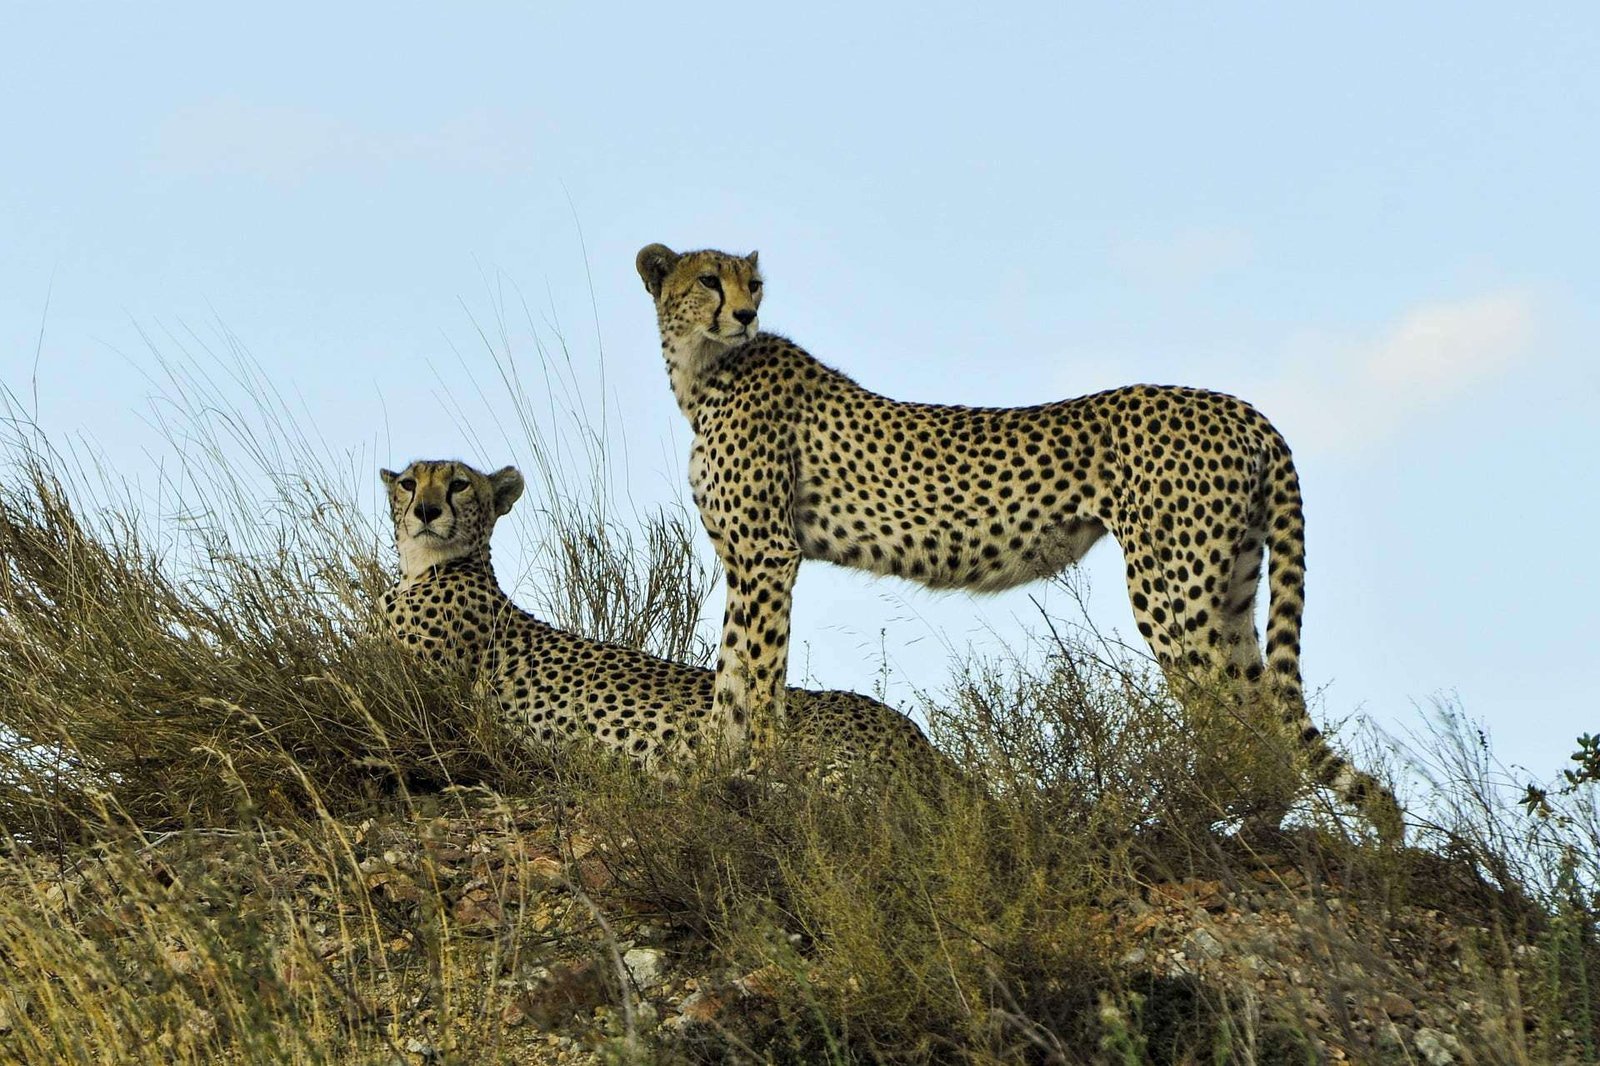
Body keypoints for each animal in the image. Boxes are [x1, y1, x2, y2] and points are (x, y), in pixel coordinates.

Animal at [633, 240, 1401, 838]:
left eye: (753, 283)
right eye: (709, 279)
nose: (745, 313)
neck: (703, 370)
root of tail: (1239, 405)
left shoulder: (767, 555)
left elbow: (757, 674)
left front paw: (755, 771)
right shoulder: (745, 559)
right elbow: (731, 673)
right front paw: (715, 771)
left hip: (1170, 585)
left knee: (1231, 715)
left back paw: (1187, 821)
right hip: (1233, 580)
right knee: (1259, 707)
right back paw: (1250, 823)